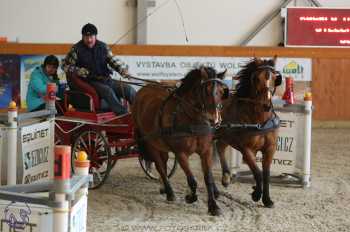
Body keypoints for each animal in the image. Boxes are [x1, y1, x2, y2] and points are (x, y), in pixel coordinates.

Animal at [133, 67, 228, 216]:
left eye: (222, 91)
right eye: (206, 90)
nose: (214, 119)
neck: (192, 119)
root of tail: (142, 90)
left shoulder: (206, 151)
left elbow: (208, 179)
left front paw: (214, 206)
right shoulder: (181, 153)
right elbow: (192, 180)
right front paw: (190, 196)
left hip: (161, 145)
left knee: (164, 163)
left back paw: (163, 187)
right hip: (151, 143)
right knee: (159, 166)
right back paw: (170, 193)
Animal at [215, 57, 284, 208]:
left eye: (275, 78)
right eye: (256, 78)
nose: (266, 105)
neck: (260, 120)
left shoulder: (270, 149)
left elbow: (265, 174)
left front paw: (267, 199)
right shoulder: (246, 149)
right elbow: (257, 172)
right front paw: (256, 194)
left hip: (225, 137)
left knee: (220, 147)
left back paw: (226, 177)